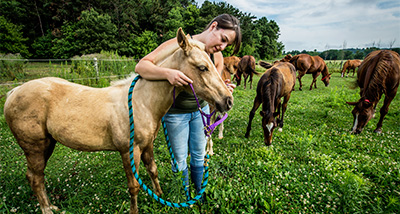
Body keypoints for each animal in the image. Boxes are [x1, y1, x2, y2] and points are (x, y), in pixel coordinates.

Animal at [3, 28, 234, 214]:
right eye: (202, 67)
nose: (228, 100)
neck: (142, 102)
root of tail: (13, 92)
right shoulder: (129, 151)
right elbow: (134, 185)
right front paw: (134, 211)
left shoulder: (147, 145)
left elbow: (153, 171)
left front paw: (161, 198)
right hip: (35, 148)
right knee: (36, 178)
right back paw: (47, 209)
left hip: (47, 145)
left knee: (35, 176)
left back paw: (51, 205)